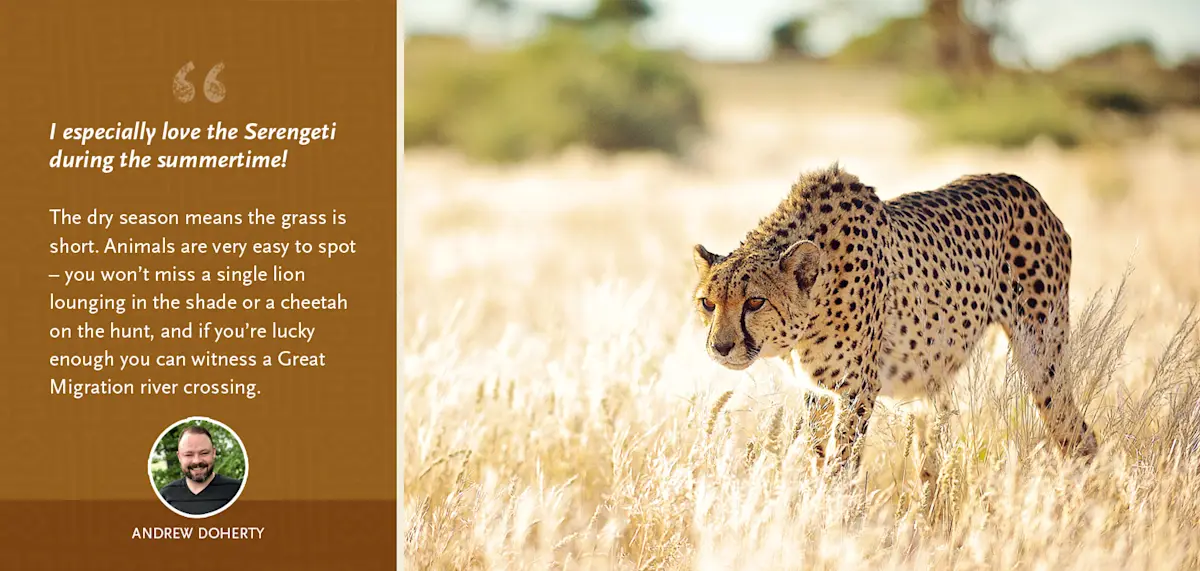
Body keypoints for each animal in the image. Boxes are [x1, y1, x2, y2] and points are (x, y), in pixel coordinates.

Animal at [690, 163, 1099, 484]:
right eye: (708, 303)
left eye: (755, 302)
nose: (720, 347)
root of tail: (1022, 184)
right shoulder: (818, 392)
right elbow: (818, 452)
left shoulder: (856, 389)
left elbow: (842, 462)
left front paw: (831, 515)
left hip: (1042, 357)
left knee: (1077, 434)